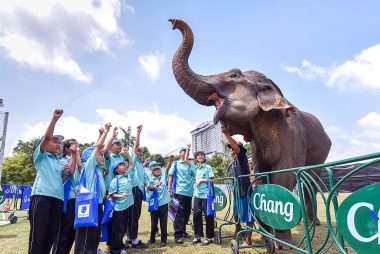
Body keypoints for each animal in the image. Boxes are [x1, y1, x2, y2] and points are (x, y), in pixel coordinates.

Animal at [168, 18, 332, 249]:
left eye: (234, 75)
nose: (173, 23)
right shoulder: (257, 146)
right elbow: (263, 177)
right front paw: (266, 236)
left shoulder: (292, 136)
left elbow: (284, 177)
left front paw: (281, 242)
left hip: (321, 152)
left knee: (311, 181)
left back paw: (312, 223)